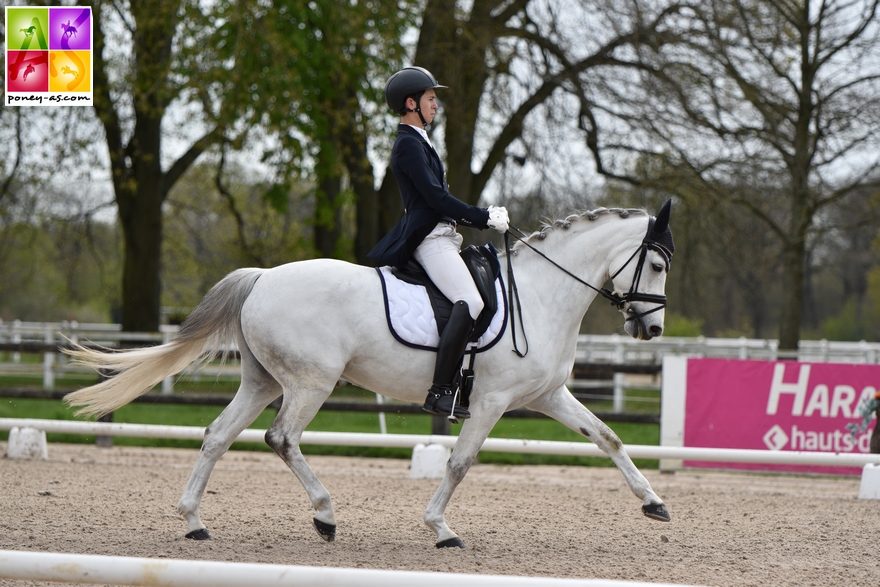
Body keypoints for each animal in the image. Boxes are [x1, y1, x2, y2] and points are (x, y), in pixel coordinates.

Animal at [65, 204, 672, 548]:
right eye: (659, 264)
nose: (652, 329)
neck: (541, 296)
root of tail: (262, 278)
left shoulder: (547, 396)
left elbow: (608, 437)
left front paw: (654, 504)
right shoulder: (492, 401)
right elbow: (460, 463)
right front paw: (440, 529)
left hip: (263, 382)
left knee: (217, 436)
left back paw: (194, 522)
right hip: (310, 383)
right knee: (281, 438)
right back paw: (326, 516)